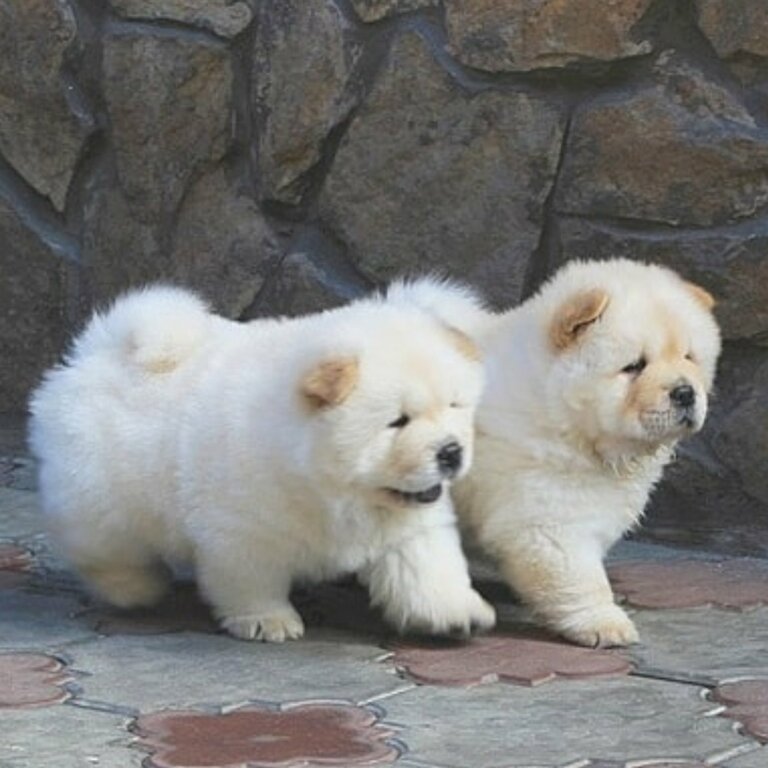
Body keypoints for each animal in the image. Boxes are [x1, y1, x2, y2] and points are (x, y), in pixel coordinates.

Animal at [28, 284, 492, 640]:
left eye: (454, 406)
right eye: (398, 422)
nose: (451, 451)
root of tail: (97, 350)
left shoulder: (410, 523)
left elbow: (426, 566)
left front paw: (456, 614)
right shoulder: (243, 529)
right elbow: (252, 579)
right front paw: (267, 621)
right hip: (97, 496)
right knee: (100, 548)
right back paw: (135, 588)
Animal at [396, 260, 720, 644]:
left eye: (689, 358)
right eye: (634, 366)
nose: (685, 393)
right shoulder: (549, 512)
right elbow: (580, 575)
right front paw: (605, 624)